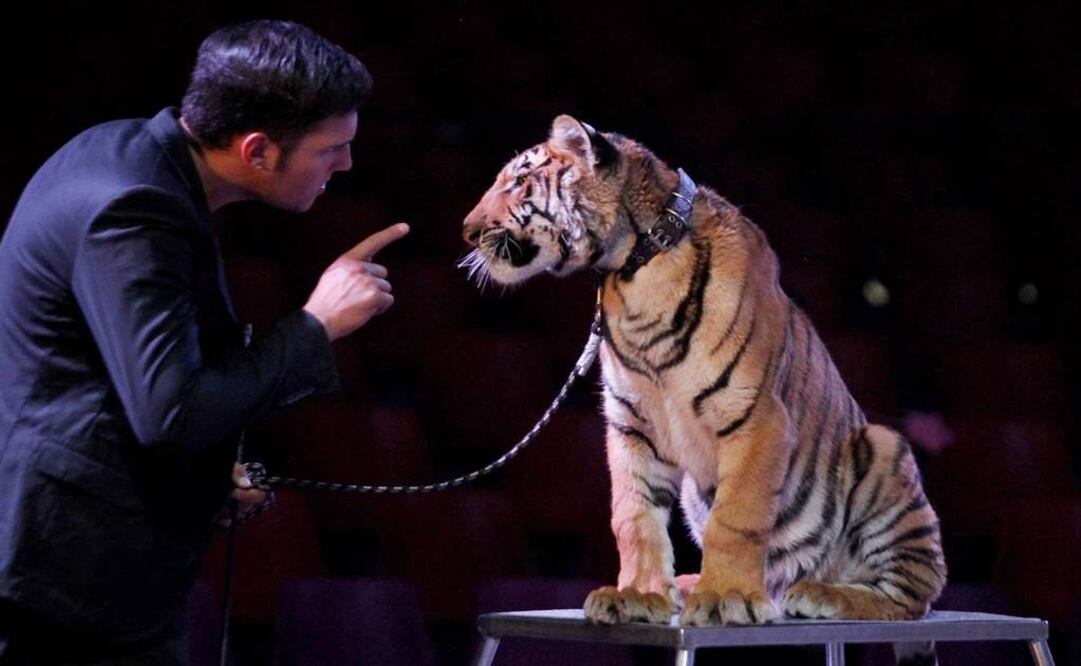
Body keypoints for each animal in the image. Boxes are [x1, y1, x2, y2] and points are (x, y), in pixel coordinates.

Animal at [460, 115, 947, 632]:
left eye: (518, 182)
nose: (467, 231)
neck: (633, 268)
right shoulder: (631, 423)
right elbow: (634, 515)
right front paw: (638, 594)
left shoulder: (757, 417)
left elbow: (736, 517)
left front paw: (727, 598)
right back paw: (693, 584)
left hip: (884, 448)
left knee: (911, 592)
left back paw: (821, 594)